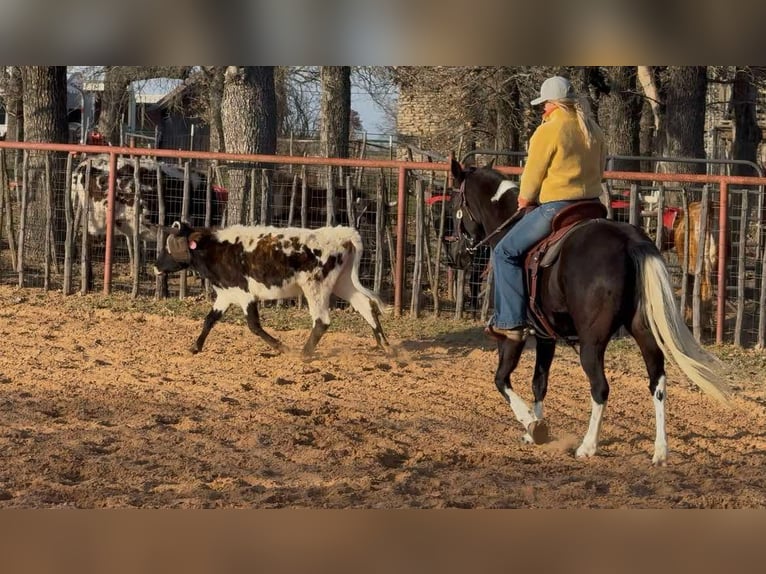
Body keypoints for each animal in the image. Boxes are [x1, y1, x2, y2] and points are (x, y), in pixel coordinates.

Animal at [443, 159, 731, 465]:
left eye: (453, 204)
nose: (455, 257)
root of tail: (629, 241)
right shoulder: (546, 335)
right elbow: (539, 381)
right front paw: (536, 428)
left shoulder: (512, 334)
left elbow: (501, 379)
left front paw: (531, 423)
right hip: (644, 332)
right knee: (658, 384)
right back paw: (660, 451)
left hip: (592, 343)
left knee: (600, 387)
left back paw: (588, 445)